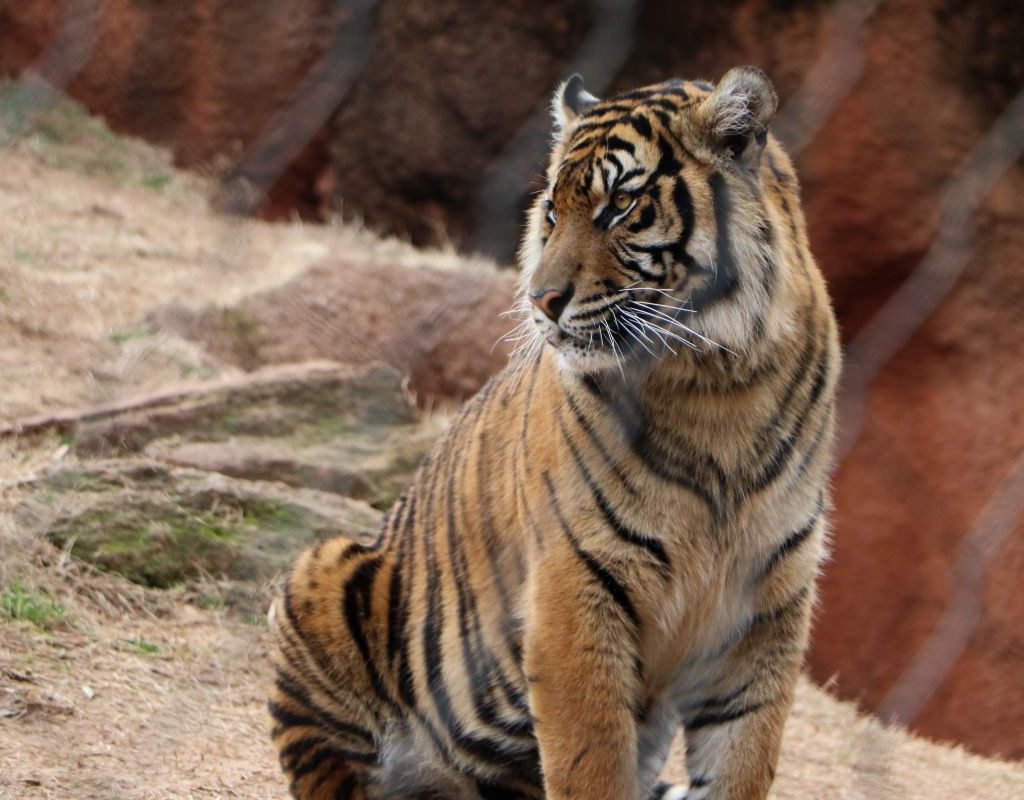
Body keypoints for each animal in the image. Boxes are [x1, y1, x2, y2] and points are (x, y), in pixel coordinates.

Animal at [267, 65, 840, 800]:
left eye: (620, 206)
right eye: (550, 213)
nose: (540, 301)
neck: (718, 384)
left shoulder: (766, 608)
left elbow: (741, 763)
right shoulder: (578, 583)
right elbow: (592, 764)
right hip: (322, 573)